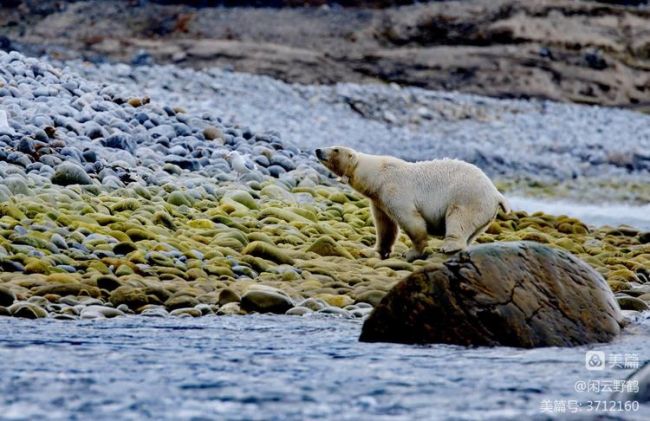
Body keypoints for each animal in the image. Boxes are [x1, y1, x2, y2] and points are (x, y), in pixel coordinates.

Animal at [316, 146, 508, 260]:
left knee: (459, 218)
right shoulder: (379, 200)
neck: (377, 174)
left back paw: (448, 246)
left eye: (335, 149)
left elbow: (411, 220)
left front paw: (411, 252)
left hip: (468, 196)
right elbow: (385, 226)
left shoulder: (394, 190)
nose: (318, 150)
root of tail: (496, 193)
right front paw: (375, 250)